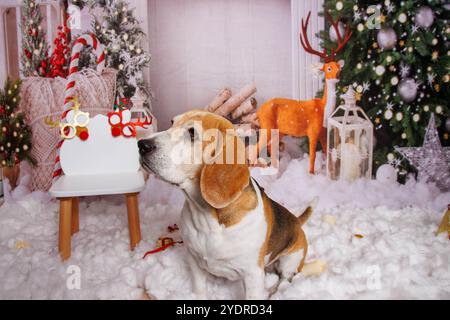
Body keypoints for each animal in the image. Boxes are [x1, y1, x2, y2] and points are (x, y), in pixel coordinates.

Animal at [138, 110, 312, 300]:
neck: (207, 216)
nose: (141, 145)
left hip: (291, 260)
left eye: (192, 133)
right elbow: (199, 290)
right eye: (171, 123)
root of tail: (297, 221)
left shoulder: (252, 274)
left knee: (285, 278)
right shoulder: (194, 261)